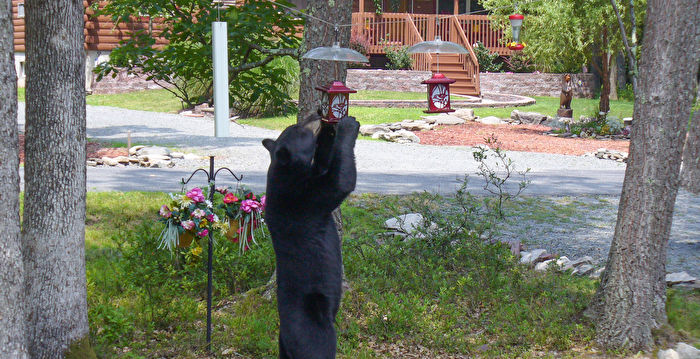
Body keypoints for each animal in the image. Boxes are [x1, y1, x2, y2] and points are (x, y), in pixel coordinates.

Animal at [262, 115, 360, 359]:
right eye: (300, 129)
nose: (315, 116)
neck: (285, 171)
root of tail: (287, 338)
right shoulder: (302, 198)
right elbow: (339, 181)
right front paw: (347, 125)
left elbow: (324, 166)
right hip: (313, 326)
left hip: (283, 346)